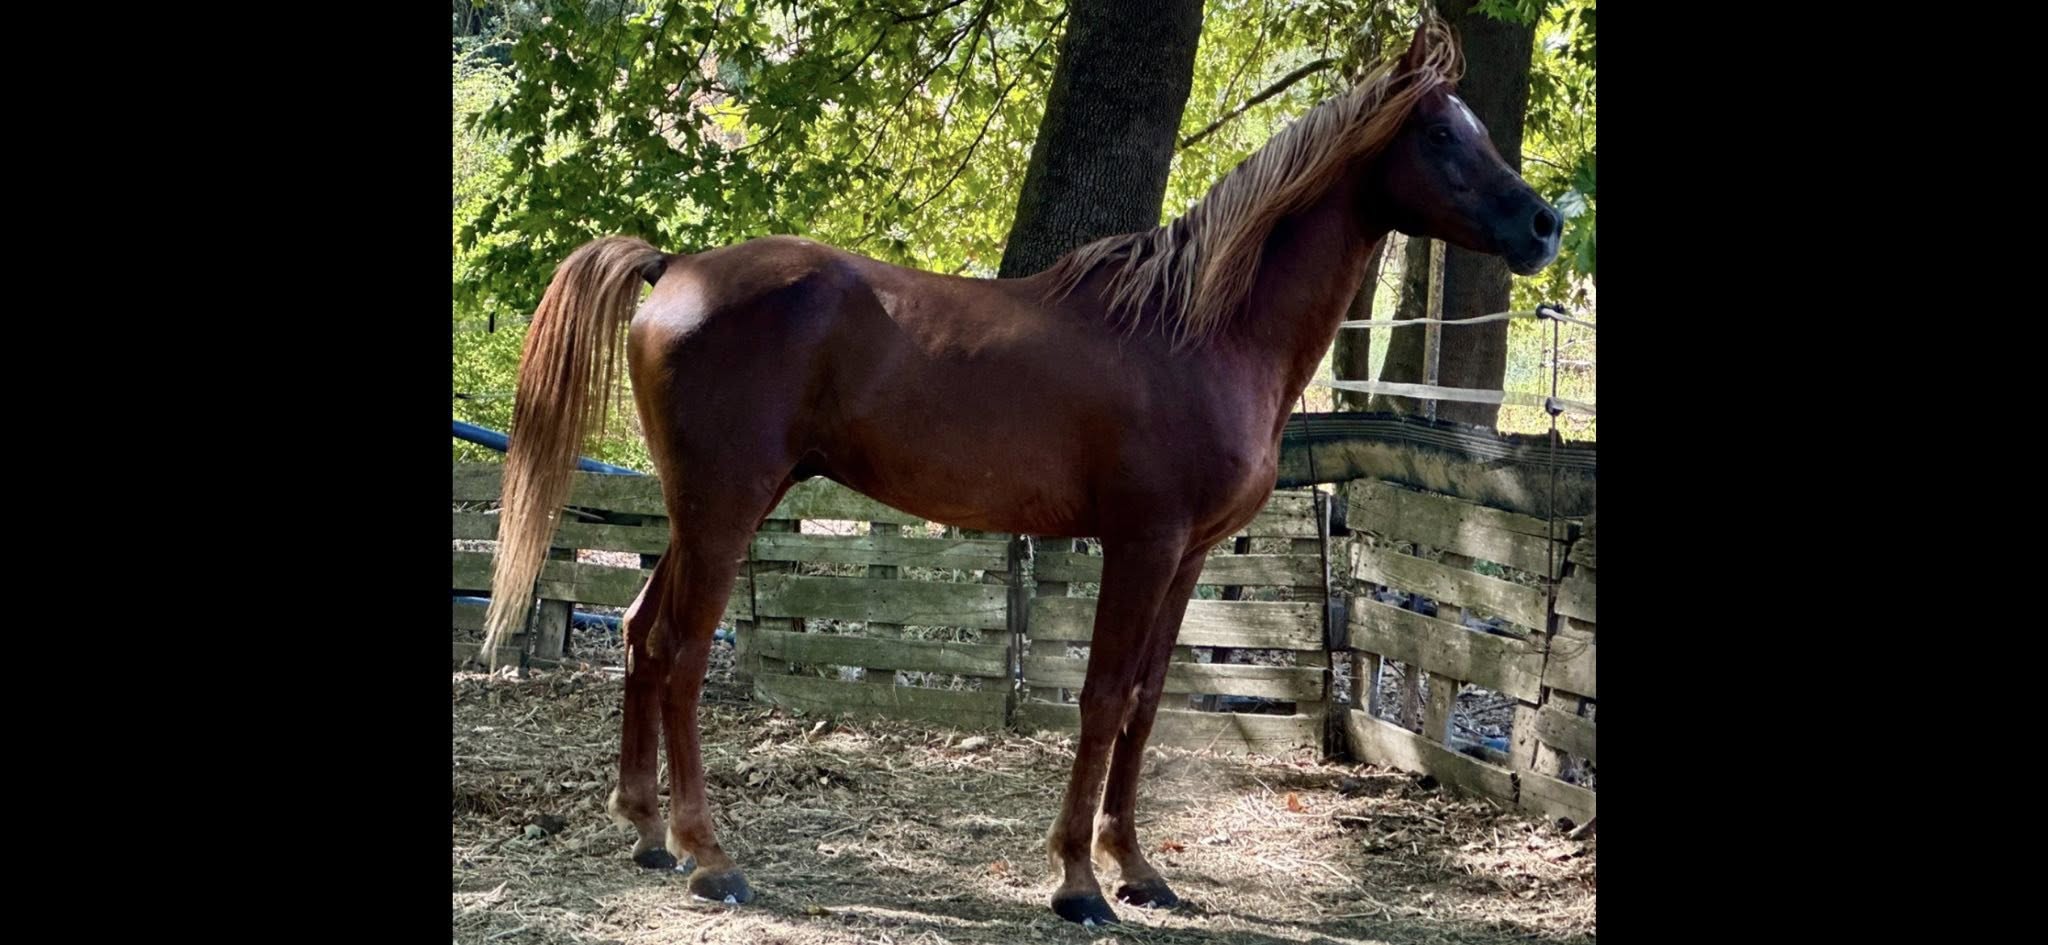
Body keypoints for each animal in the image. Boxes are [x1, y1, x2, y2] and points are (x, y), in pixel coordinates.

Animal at [480, 15, 1559, 926]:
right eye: (1440, 134)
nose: (1545, 224)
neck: (1199, 327)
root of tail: (677, 269)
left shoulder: (1189, 555)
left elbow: (1146, 701)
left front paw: (1141, 872)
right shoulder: (1139, 543)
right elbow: (1101, 697)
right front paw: (1078, 882)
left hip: (704, 509)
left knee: (637, 631)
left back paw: (647, 834)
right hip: (725, 509)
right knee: (681, 650)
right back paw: (710, 857)